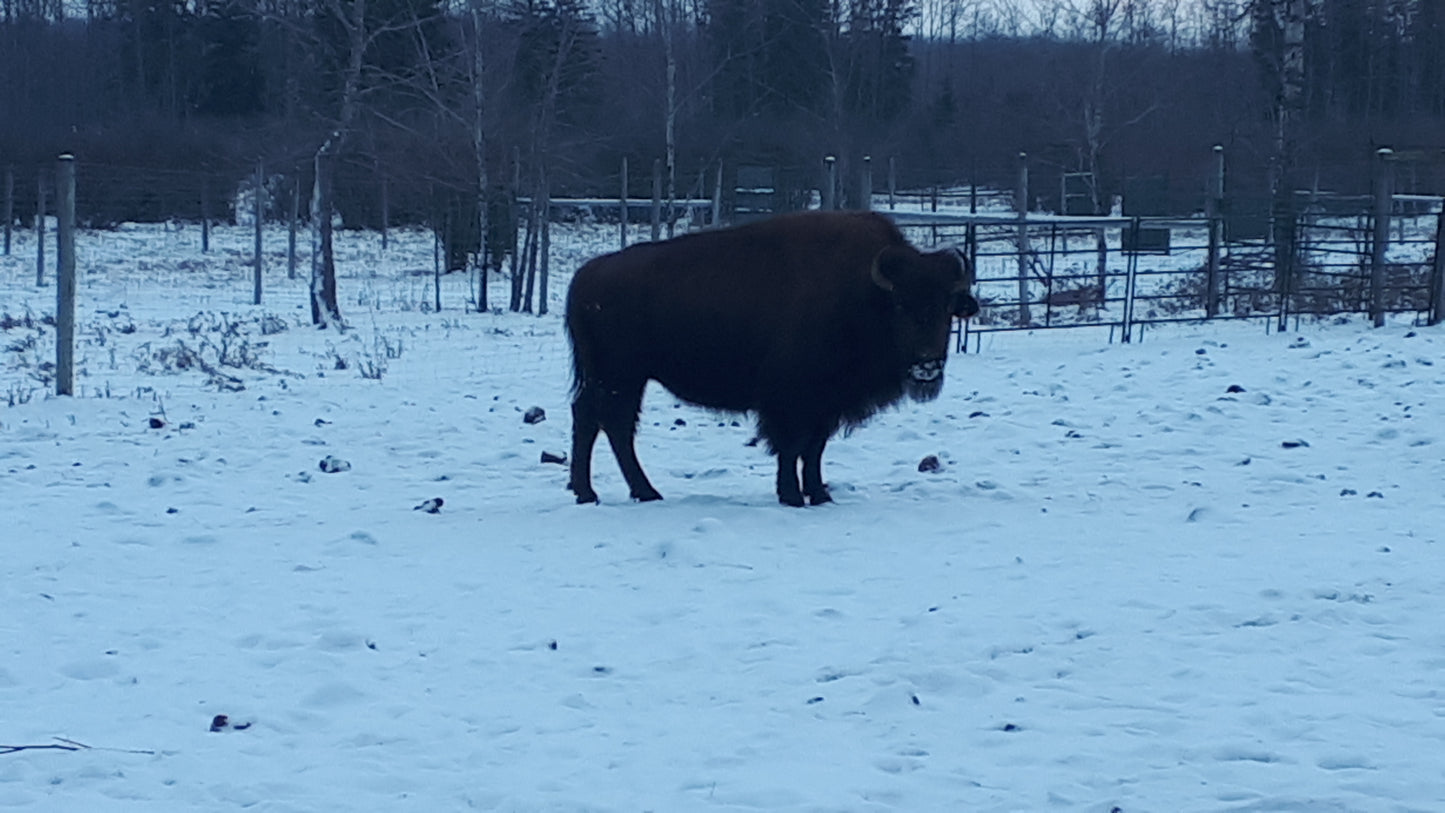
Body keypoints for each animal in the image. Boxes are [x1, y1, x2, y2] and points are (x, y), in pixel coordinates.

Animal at [565, 210, 978, 506]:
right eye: (901, 305)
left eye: (947, 308)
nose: (927, 364)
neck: (861, 293)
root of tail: (586, 274)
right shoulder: (792, 401)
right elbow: (791, 448)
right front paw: (792, 496)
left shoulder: (825, 405)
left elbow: (814, 450)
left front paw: (819, 494)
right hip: (619, 377)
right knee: (607, 423)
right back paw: (614, 492)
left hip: (621, 379)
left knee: (600, 421)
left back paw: (610, 491)